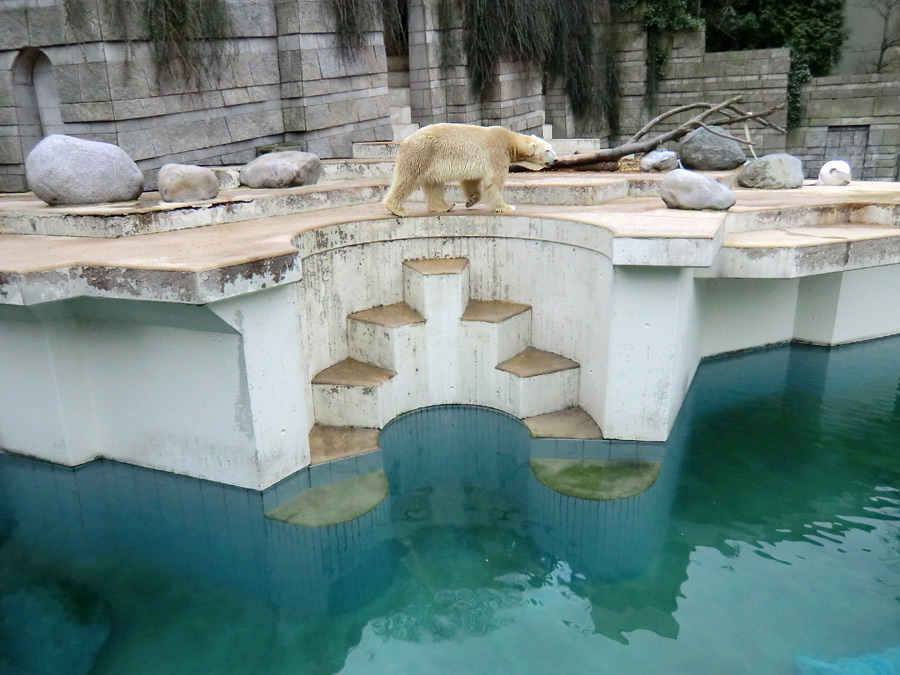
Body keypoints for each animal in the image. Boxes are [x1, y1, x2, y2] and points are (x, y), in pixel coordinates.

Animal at [380, 122, 556, 217]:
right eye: (548, 150)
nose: (555, 160)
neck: (510, 141)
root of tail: (404, 142)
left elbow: (470, 181)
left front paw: (471, 201)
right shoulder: (496, 153)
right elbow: (495, 182)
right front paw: (507, 207)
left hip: (430, 161)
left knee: (433, 184)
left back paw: (445, 206)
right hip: (422, 152)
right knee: (408, 179)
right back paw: (397, 209)